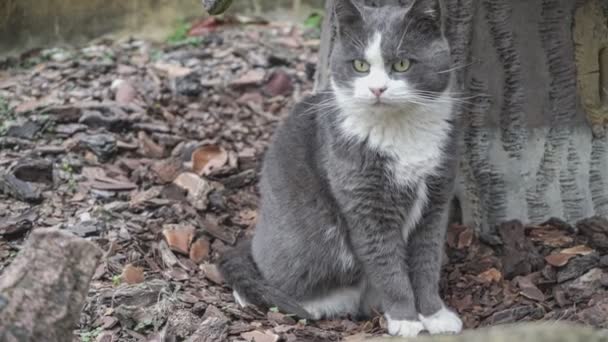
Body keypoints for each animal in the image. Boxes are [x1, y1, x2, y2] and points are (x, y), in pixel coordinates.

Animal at [221, 0, 464, 336]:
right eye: (360, 65)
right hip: (312, 242)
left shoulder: (437, 199)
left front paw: (435, 315)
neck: (399, 130)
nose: (377, 89)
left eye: (402, 64)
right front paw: (405, 319)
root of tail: (255, 239)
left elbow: (427, 261)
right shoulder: (365, 206)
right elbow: (387, 265)